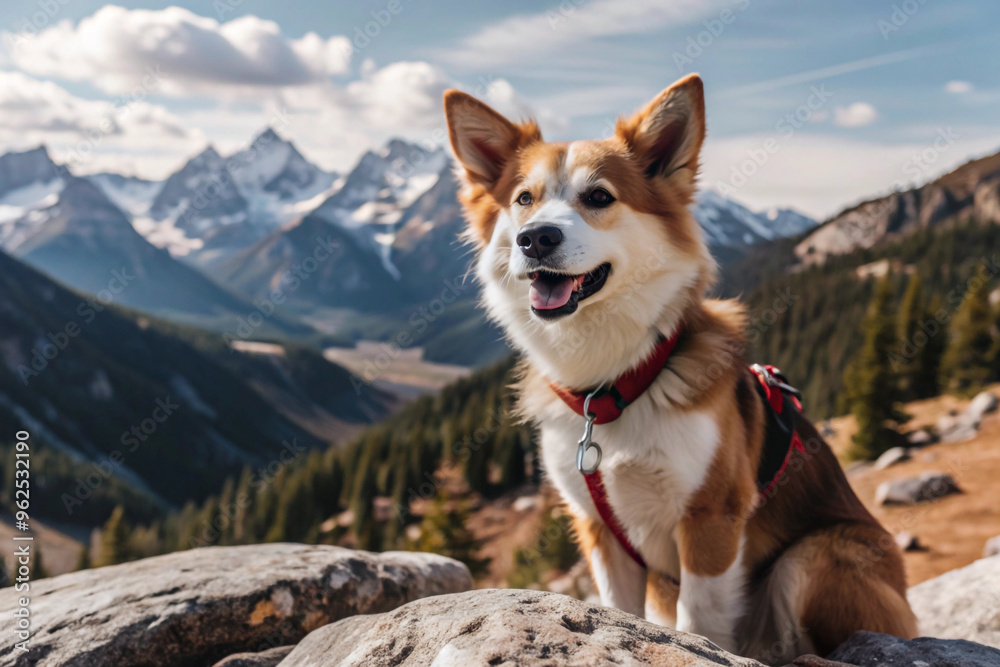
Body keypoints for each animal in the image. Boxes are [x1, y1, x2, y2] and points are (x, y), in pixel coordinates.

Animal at [446, 74, 920, 664]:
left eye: (599, 197)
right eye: (523, 200)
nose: (535, 238)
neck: (615, 386)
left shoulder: (711, 517)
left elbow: (700, 619)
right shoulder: (599, 530)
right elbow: (615, 611)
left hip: (813, 558)